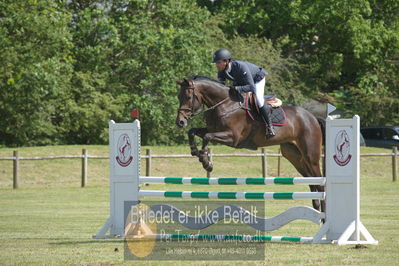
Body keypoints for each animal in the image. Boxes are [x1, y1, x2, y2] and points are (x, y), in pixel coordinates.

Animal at [177, 75, 326, 212]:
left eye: (188, 97)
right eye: (179, 97)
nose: (180, 122)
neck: (225, 104)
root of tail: (313, 117)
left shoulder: (233, 137)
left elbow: (207, 137)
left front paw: (206, 162)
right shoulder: (213, 130)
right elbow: (192, 132)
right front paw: (194, 151)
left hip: (310, 156)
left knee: (320, 183)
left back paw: (323, 213)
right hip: (293, 155)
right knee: (311, 181)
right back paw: (317, 209)